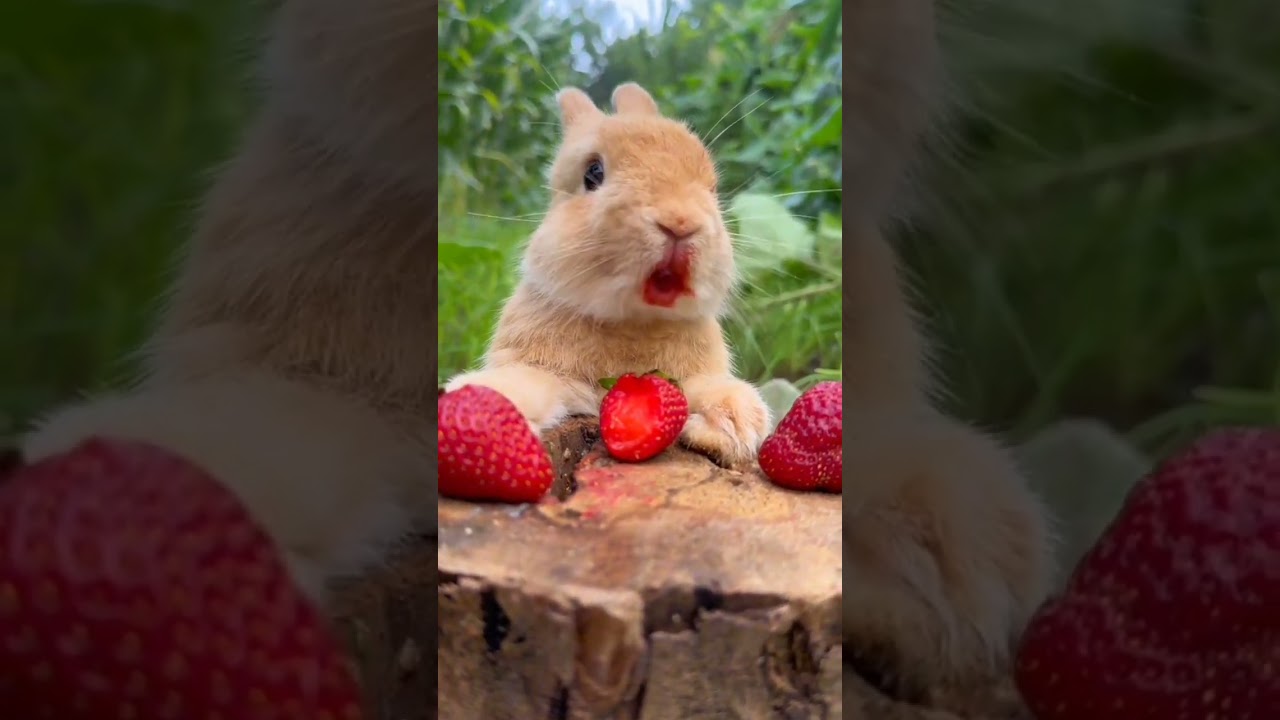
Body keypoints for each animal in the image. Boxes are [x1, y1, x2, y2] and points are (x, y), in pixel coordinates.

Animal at [444, 83, 772, 467]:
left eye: (712, 187)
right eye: (593, 174)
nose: (680, 223)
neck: (633, 322)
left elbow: (712, 388)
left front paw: (731, 426)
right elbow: (522, 383)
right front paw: (478, 408)